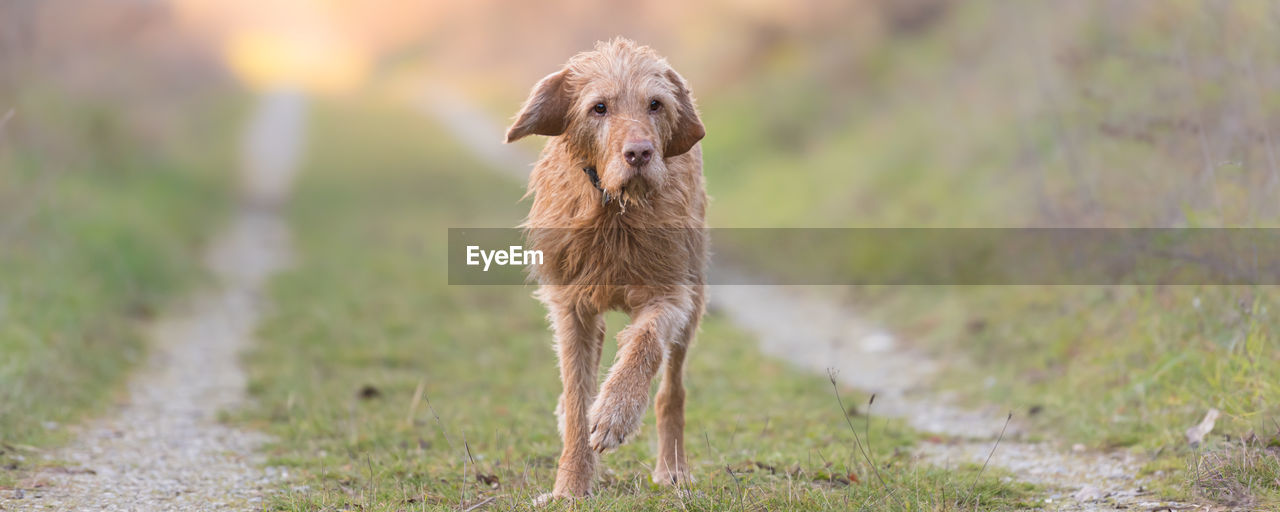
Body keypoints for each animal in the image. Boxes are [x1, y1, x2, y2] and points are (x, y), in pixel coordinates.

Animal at [501, 36, 711, 499]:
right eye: (599, 107)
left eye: (655, 104)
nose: (640, 153)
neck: (615, 210)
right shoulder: (571, 308)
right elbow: (578, 396)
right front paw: (570, 486)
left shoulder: (669, 294)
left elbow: (645, 343)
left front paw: (615, 414)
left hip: (694, 297)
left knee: (673, 390)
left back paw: (672, 468)